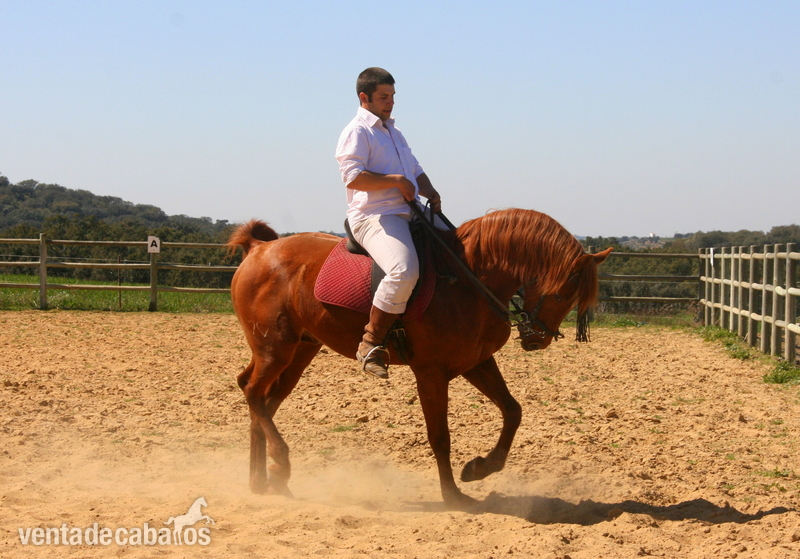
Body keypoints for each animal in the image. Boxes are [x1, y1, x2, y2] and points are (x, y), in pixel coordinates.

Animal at [228, 208, 611, 509]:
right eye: (562, 293)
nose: (537, 339)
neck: (467, 279)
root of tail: (259, 249)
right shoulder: (431, 372)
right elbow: (440, 436)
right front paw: (453, 495)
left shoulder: (477, 363)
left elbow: (513, 411)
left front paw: (479, 468)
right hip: (275, 349)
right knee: (253, 391)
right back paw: (279, 465)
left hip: (299, 351)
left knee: (261, 401)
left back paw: (261, 481)